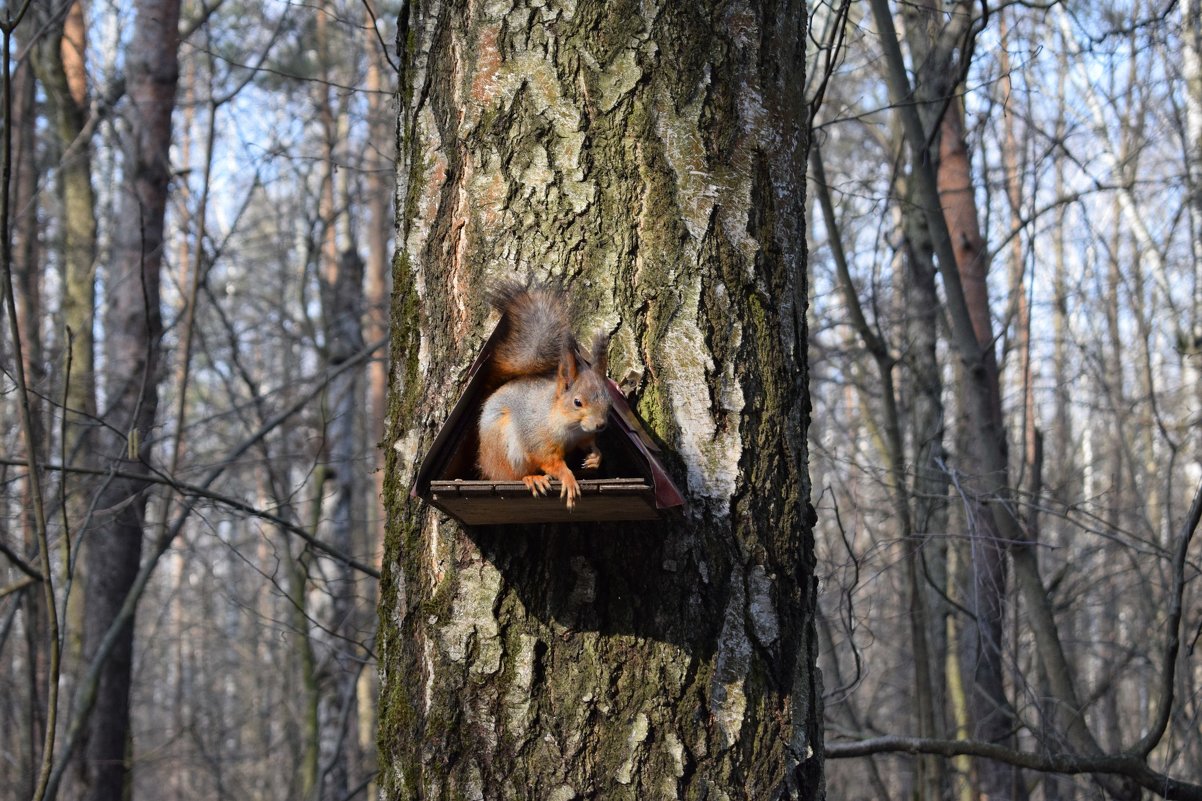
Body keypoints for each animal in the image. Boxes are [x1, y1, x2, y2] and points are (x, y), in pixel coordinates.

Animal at [475, 280, 610, 505]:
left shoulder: (582, 436)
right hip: (504, 449)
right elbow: (551, 462)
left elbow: (588, 444)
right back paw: (532, 478)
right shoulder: (539, 439)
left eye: (609, 401)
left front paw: (596, 457)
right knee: (509, 476)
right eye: (577, 402)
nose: (601, 425)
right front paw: (569, 479)